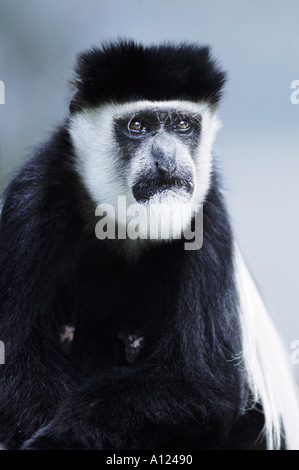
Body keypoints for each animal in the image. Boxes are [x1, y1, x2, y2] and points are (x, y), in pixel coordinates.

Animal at [0, 42, 299, 450]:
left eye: (183, 125)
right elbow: (13, 362)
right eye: (137, 126)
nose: (166, 159)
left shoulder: (209, 218)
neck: (123, 225)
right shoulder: (30, 201)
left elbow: (197, 384)